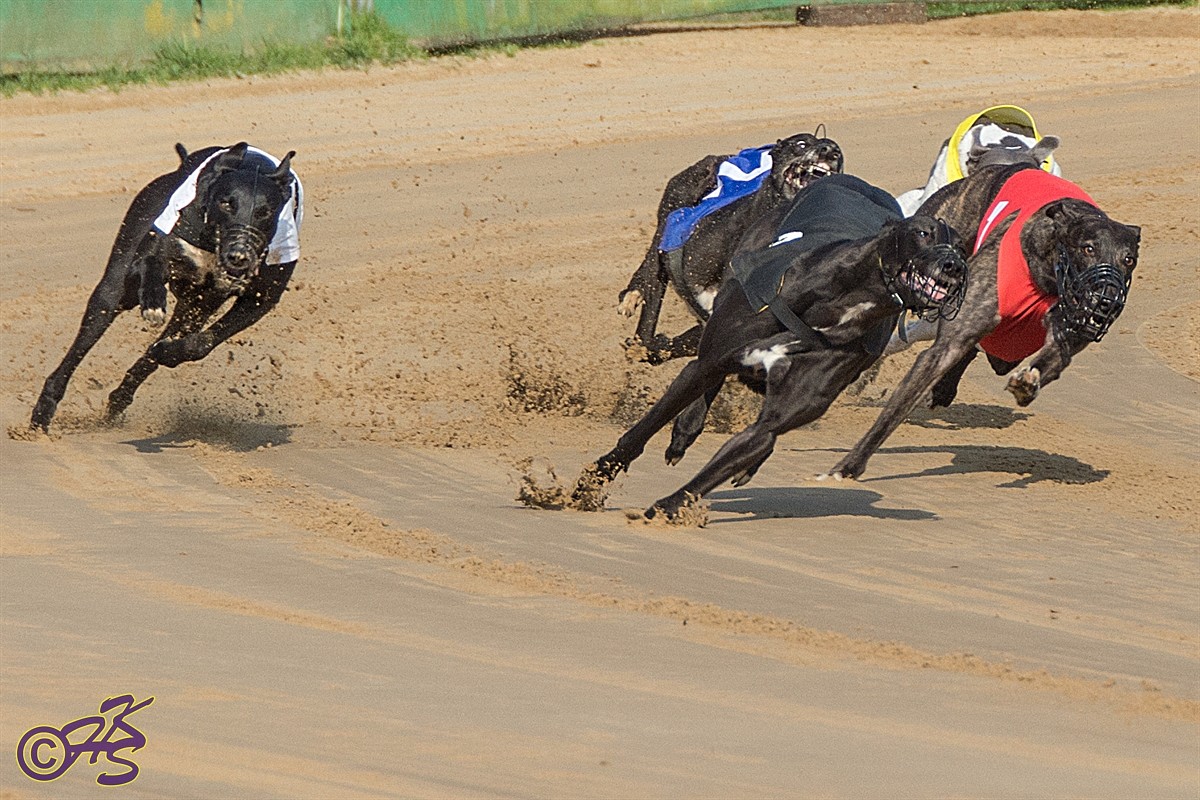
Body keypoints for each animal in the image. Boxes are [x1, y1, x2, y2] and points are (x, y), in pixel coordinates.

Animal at [30, 142, 302, 431]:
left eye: (265, 211)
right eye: (226, 203)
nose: (239, 256)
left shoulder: (259, 301)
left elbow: (199, 343)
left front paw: (165, 351)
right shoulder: (150, 252)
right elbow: (149, 263)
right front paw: (154, 301)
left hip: (194, 309)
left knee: (162, 346)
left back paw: (122, 395)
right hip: (116, 287)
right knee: (90, 331)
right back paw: (43, 411)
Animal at [576, 174, 968, 519]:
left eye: (963, 247)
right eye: (923, 232)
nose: (954, 265)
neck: (843, 304)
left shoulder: (774, 420)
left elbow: (746, 447)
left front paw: (666, 509)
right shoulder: (708, 362)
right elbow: (640, 432)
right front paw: (591, 485)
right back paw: (685, 429)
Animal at [827, 161, 1140, 481]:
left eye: (1129, 259)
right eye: (1088, 248)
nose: (1106, 301)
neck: (1047, 275)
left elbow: (1054, 359)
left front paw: (1028, 383)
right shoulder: (946, 345)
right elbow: (896, 410)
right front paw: (847, 467)